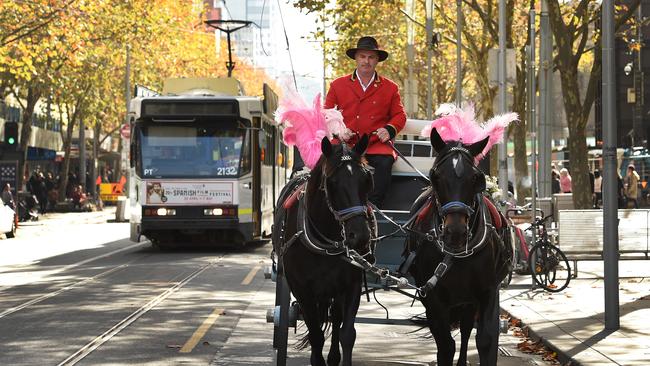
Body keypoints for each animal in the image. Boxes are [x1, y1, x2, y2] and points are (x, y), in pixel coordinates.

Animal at [274, 135, 374, 366]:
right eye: (333, 182)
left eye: (366, 179)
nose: (360, 236)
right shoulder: (303, 290)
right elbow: (316, 336)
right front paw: (316, 357)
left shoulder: (352, 285)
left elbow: (347, 334)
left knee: (335, 317)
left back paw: (333, 356)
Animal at [402, 129, 508, 366]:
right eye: (436, 176)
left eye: (476, 178)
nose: (456, 232)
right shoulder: (432, 296)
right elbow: (445, 345)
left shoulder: (488, 291)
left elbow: (486, 339)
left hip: (468, 300)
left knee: (467, 328)